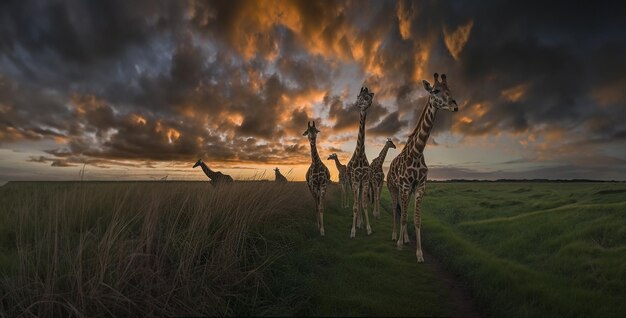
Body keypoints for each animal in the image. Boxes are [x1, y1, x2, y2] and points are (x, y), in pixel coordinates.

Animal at [386, 73, 458, 262]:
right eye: (436, 90)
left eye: (450, 89)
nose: (455, 106)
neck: (417, 153)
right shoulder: (404, 186)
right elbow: (403, 217)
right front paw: (399, 245)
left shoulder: (419, 187)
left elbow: (416, 219)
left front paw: (419, 253)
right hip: (393, 188)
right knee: (396, 210)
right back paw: (394, 235)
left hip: (407, 191)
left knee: (402, 210)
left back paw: (405, 238)